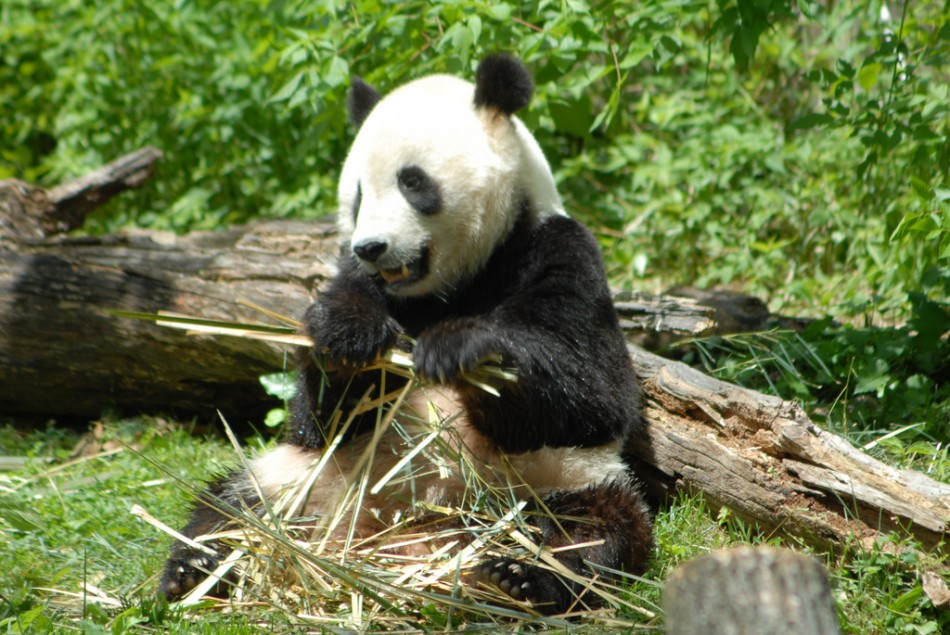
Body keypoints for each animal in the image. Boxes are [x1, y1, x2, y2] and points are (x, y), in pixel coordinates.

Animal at [159, 54, 653, 615]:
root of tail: (404, 541)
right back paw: (193, 570)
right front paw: (351, 342)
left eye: (413, 183)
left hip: (558, 478)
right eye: (357, 195)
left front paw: (462, 349)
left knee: (594, 531)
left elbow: (595, 394)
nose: (372, 247)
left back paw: (519, 577)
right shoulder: (353, 280)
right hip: (301, 479)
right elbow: (316, 418)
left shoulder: (561, 252)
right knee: (232, 508)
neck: (451, 287)